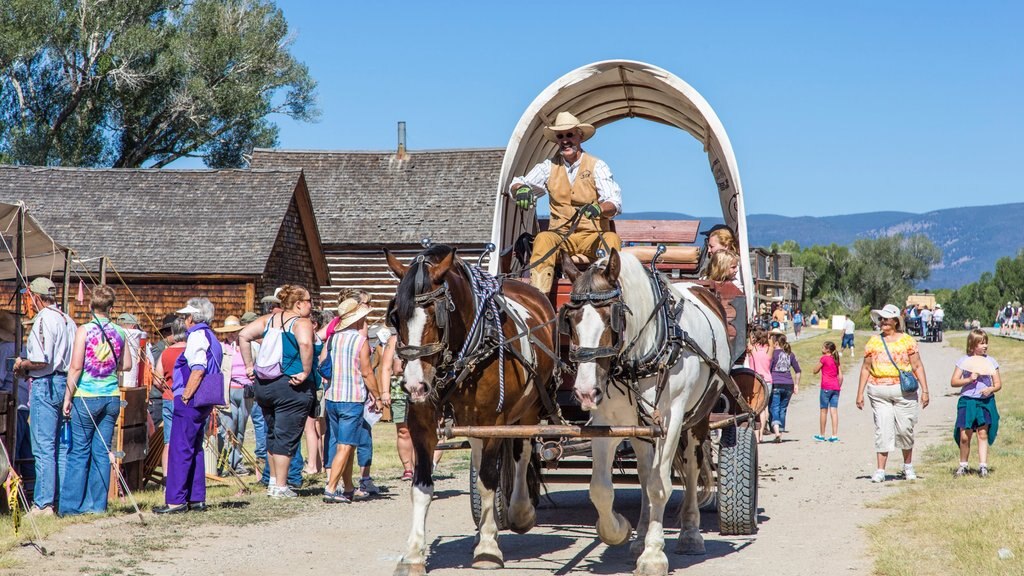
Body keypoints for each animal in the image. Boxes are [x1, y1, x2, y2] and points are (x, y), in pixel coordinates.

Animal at [385, 243, 557, 569]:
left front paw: (488, 548)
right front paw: (414, 552)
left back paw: (519, 512)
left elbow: (489, 480)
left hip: (527, 409)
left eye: (435, 315)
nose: (414, 386)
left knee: (522, 452)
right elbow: (422, 486)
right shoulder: (422, 422)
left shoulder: (494, 422)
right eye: (396, 317)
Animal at [561, 250, 737, 573]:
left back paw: (690, 535)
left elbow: (659, 486)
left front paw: (654, 554)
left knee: (691, 469)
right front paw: (618, 530)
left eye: (612, 316)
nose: (585, 391)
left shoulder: (671, 420)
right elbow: (601, 488)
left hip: (697, 418)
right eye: (570, 319)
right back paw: (640, 536)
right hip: (641, 429)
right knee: (644, 473)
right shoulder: (605, 423)